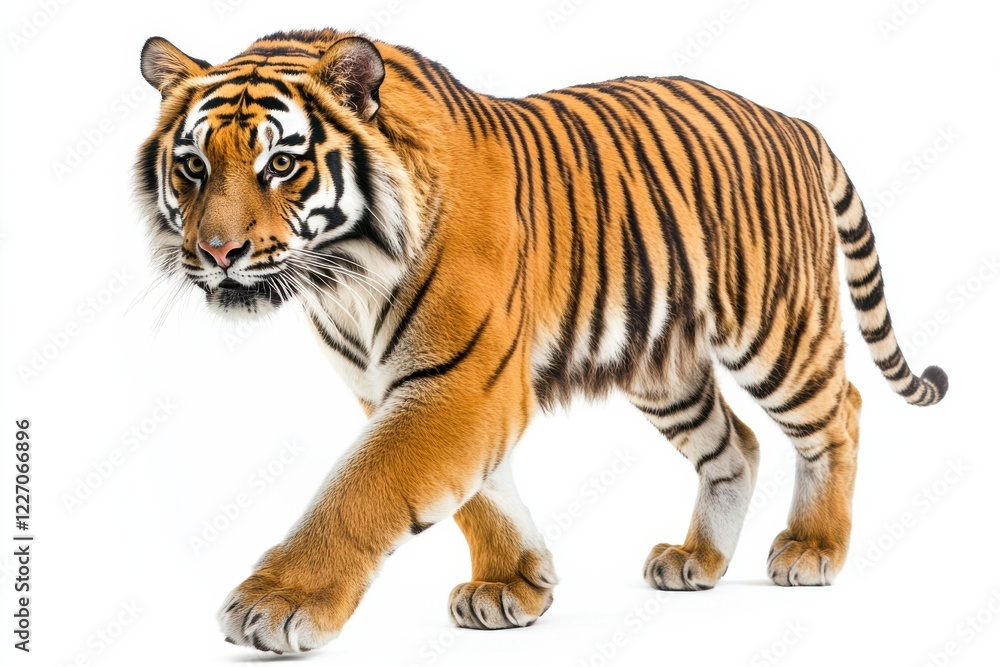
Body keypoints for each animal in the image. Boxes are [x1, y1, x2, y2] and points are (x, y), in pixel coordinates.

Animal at [135, 29, 948, 653]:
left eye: (281, 163)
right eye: (193, 165)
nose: (216, 252)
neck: (344, 276)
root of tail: (792, 121)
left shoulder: (459, 382)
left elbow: (362, 489)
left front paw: (276, 603)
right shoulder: (404, 387)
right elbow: (478, 493)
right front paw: (514, 586)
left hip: (776, 330)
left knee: (840, 411)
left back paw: (814, 548)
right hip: (665, 365)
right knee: (736, 445)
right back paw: (698, 558)